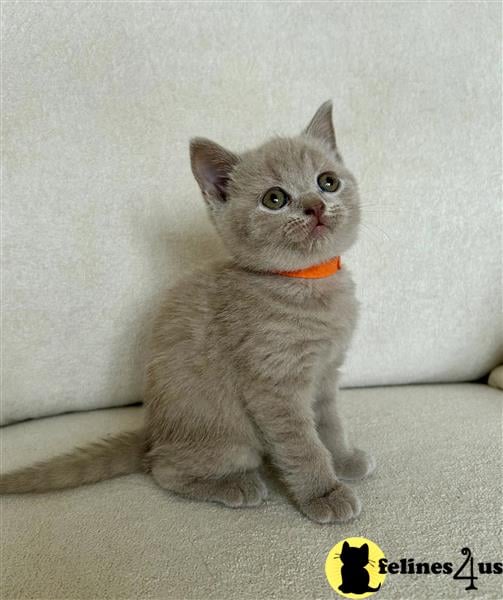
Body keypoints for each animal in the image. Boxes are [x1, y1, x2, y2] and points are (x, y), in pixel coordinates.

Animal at [0, 102, 376, 520]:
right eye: (275, 199)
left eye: (327, 181)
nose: (315, 205)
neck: (308, 282)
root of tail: (153, 430)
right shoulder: (273, 386)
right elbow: (302, 445)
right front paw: (324, 493)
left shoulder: (326, 372)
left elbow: (329, 423)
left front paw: (343, 459)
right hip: (231, 439)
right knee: (164, 469)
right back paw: (236, 485)